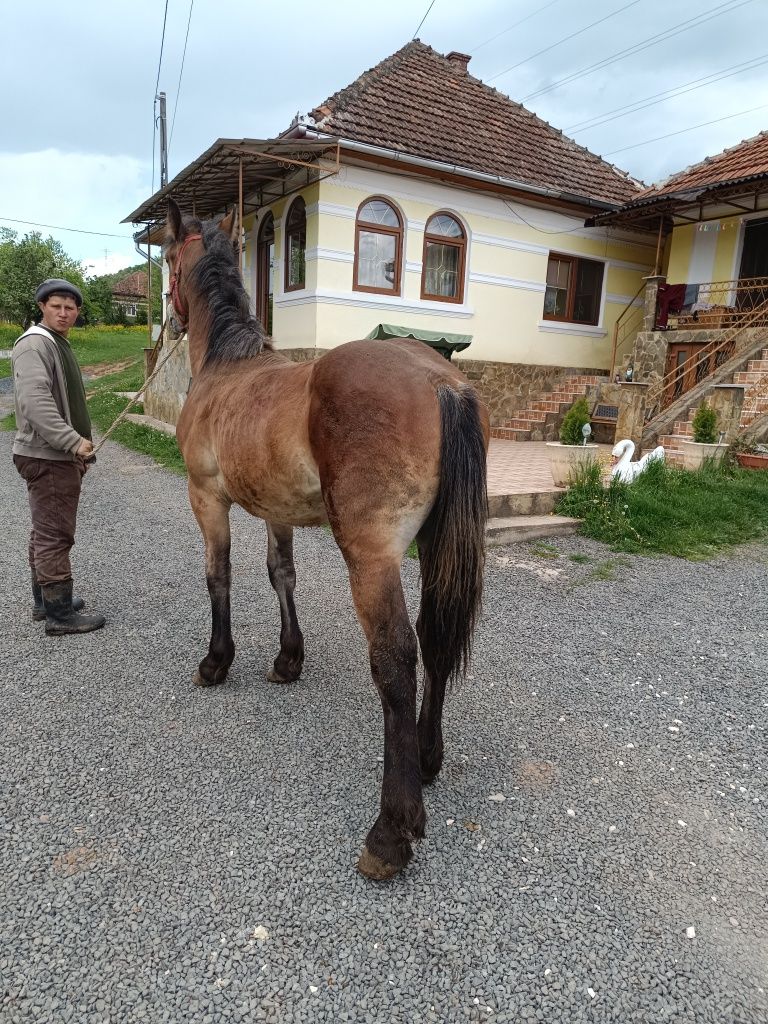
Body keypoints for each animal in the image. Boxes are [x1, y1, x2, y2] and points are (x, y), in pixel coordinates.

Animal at [166, 199, 493, 880]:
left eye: (170, 261)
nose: (170, 313)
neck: (227, 369)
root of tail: (445, 382)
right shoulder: (275, 509)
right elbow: (280, 573)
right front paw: (288, 659)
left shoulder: (207, 498)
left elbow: (219, 574)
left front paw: (217, 660)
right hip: (437, 551)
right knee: (437, 642)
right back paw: (427, 759)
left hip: (372, 558)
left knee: (396, 661)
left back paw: (391, 829)